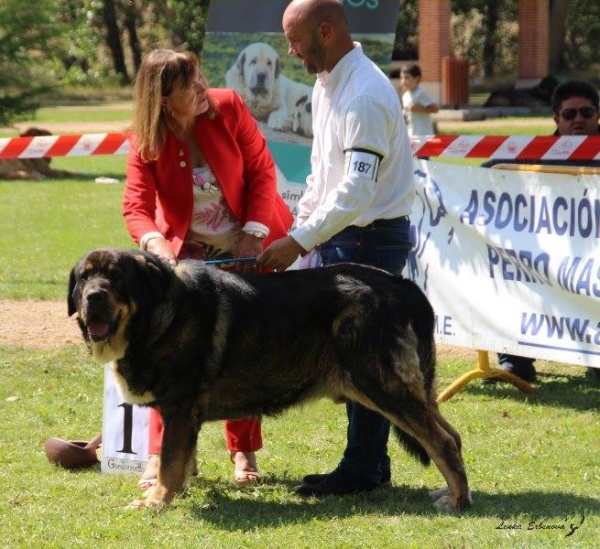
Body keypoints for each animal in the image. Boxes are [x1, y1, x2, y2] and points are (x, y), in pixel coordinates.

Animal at [69, 248, 474, 510]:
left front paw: (156, 501)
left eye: (116, 277)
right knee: (452, 435)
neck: (157, 313)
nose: (94, 296)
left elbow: (170, 461)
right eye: (85, 277)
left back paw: (457, 500)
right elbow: (182, 460)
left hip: (383, 384)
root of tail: (403, 285)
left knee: (441, 441)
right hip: (405, 389)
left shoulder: (180, 409)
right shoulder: (185, 416)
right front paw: (175, 493)